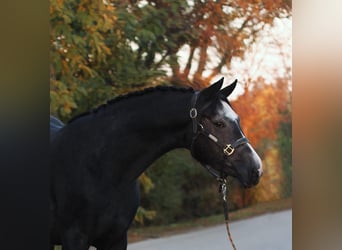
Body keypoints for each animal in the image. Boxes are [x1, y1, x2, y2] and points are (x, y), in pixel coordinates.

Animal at [49, 77, 262, 249]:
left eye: (238, 119)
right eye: (218, 123)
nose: (256, 168)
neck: (100, 167)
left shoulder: (117, 239)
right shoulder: (75, 239)